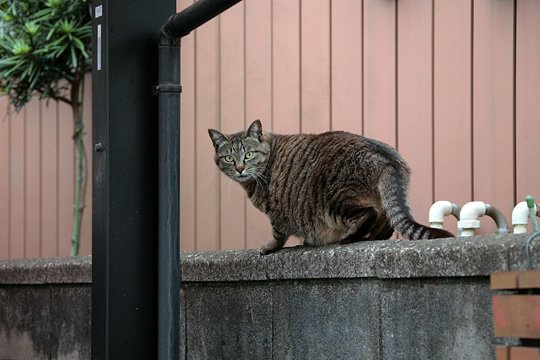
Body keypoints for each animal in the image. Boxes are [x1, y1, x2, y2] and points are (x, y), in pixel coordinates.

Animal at [209, 119, 454, 255]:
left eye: (249, 155)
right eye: (229, 158)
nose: (240, 168)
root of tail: (385, 157)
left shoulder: (276, 212)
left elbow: (278, 234)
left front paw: (269, 247)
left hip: (335, 202)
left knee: (370, 214)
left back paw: (350, 237)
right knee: (386, 222)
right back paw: (371, 237)